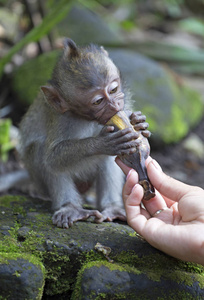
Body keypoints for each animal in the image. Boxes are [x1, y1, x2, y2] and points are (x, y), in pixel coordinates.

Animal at [19, 38, 148, 229]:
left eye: (113, 90)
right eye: (98, 101)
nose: (115, 106)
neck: (88, 119)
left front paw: (139, 123)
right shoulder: (60, 118)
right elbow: (53, 157)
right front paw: (102, 143)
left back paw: (113, 208)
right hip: (40, 182)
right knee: (42, 152)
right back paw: (71, 208)